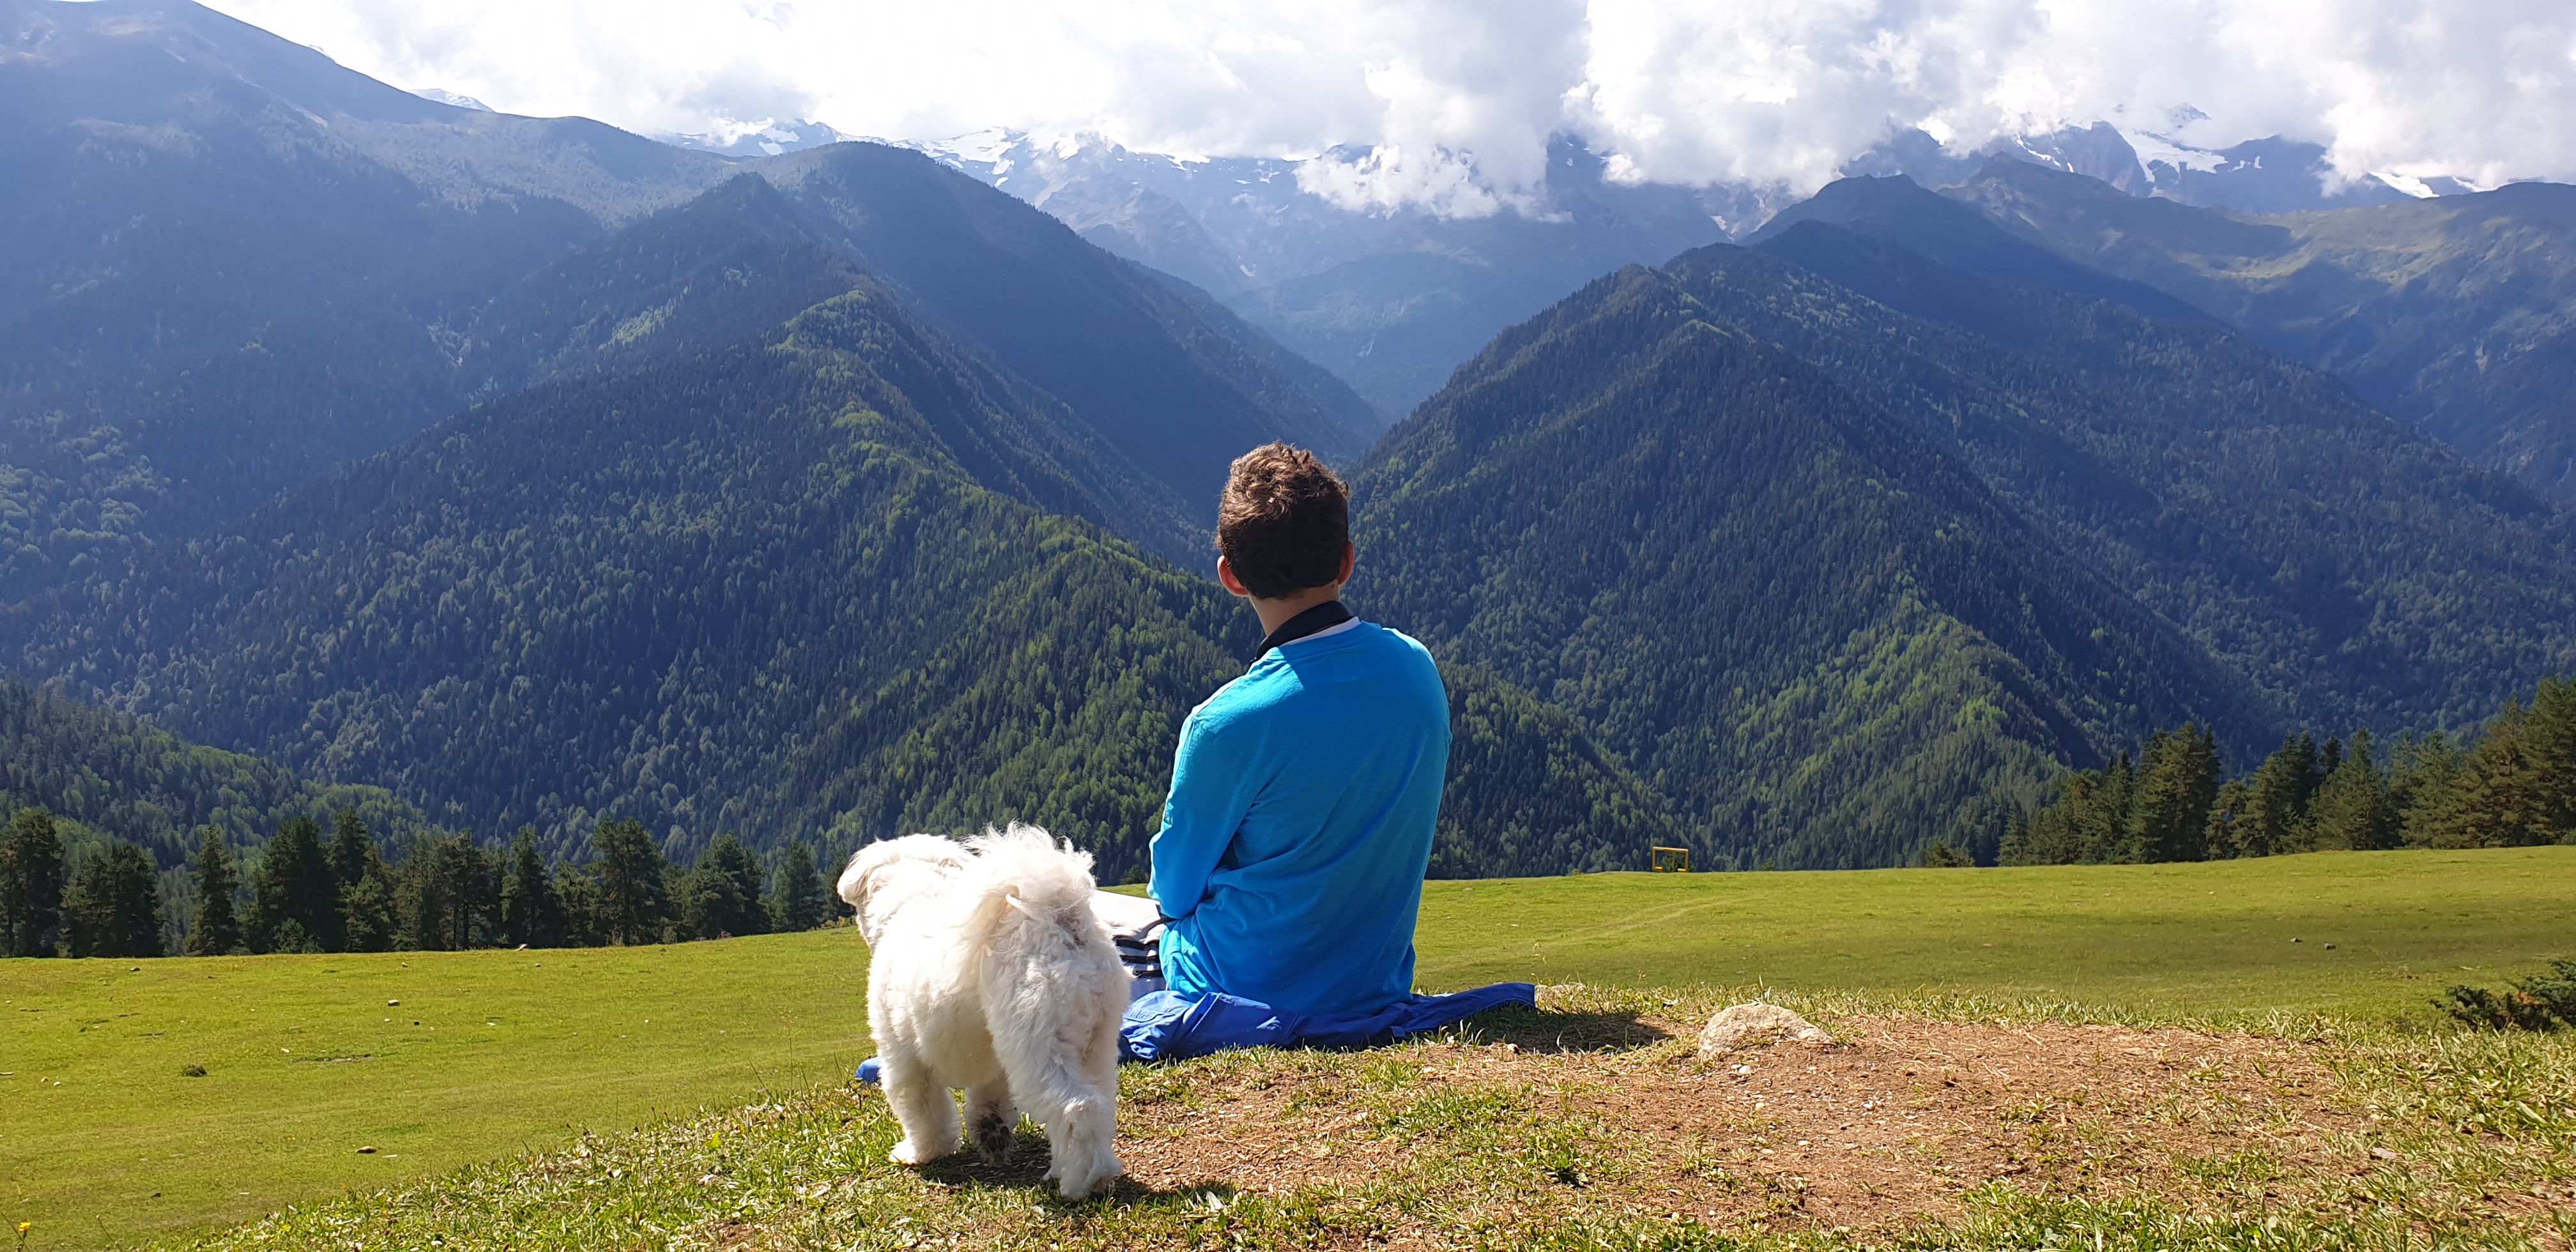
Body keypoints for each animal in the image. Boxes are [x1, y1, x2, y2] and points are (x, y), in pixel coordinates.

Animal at [839, 824, 1133, 1200]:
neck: (913, 900)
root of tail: (1060, 921)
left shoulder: (903, 1057)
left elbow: (923, 1110)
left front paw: (922, 1152)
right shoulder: (991, 1062)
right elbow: (988, 1102)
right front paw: (991, 1135)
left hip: (1040, 1049)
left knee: (1077, 1107)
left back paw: (1081, 1183)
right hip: (1096, 1045)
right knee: (1100, 1106)